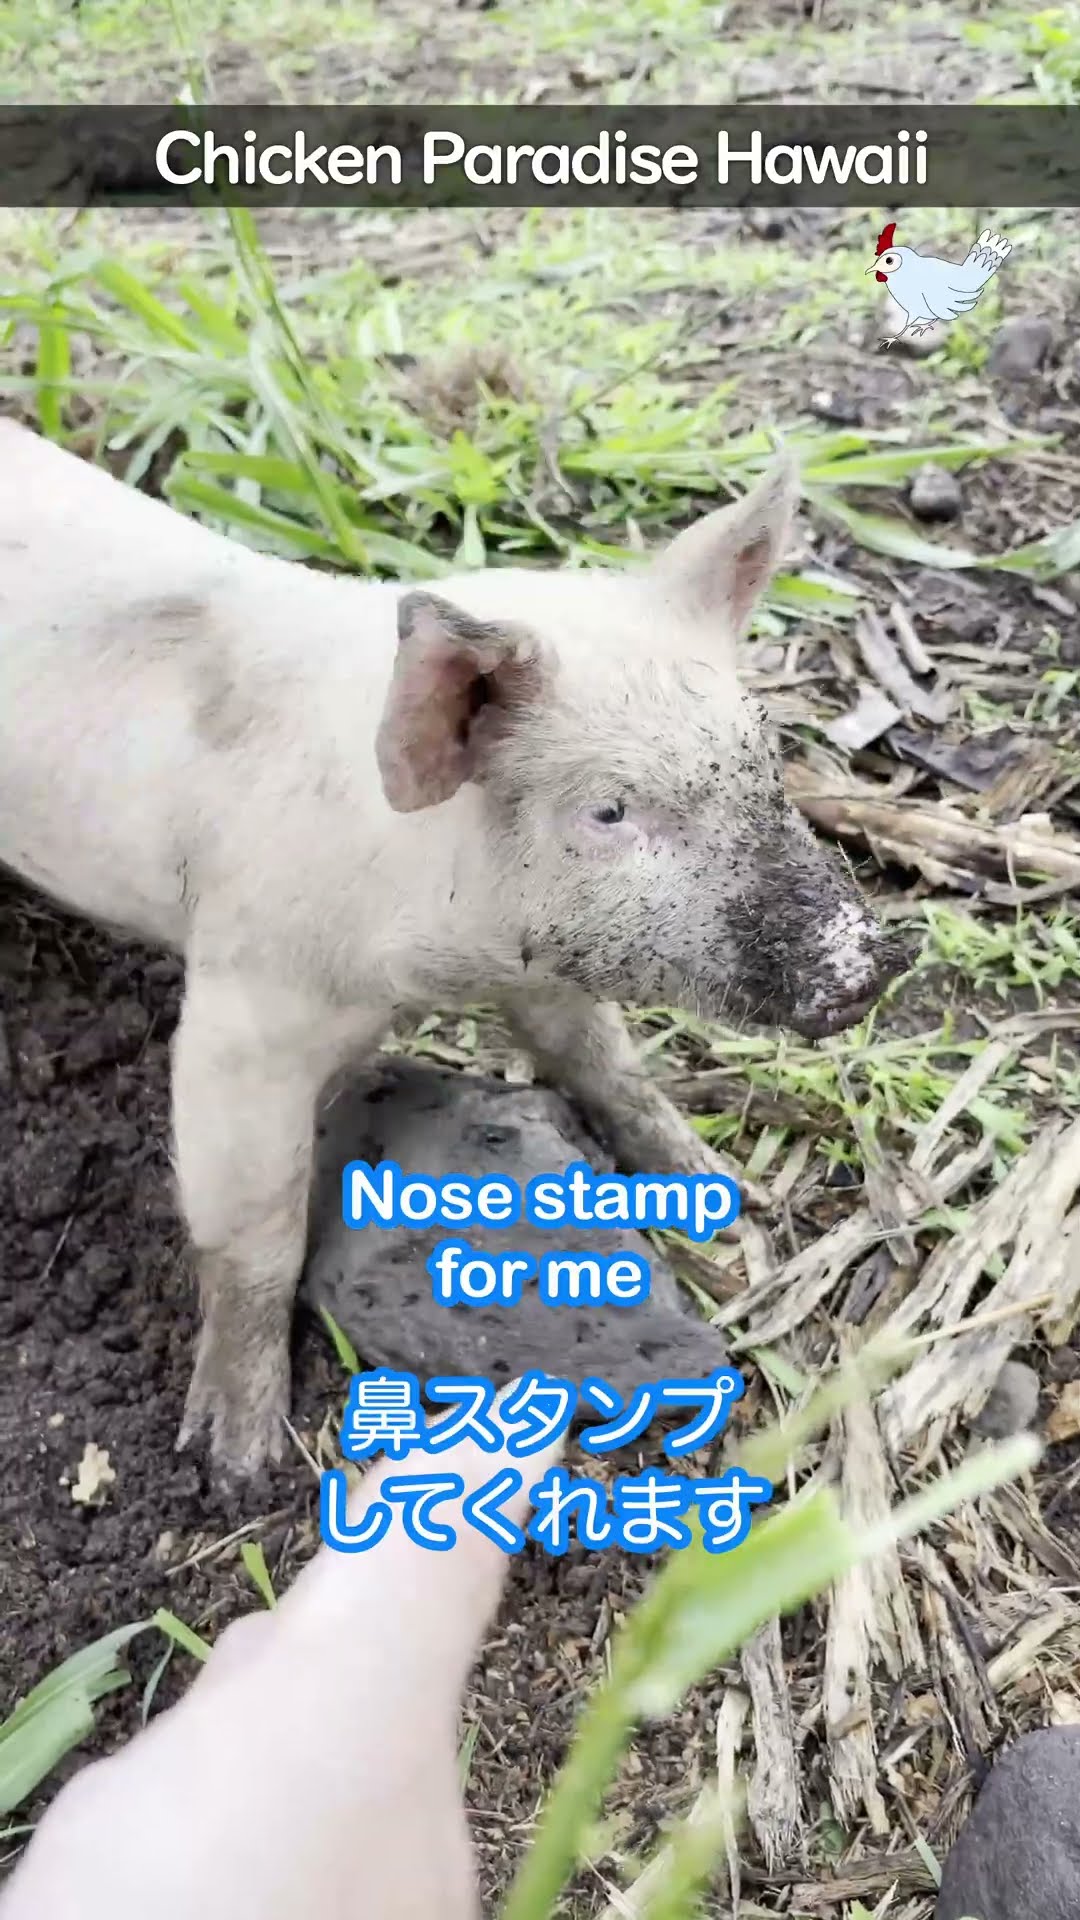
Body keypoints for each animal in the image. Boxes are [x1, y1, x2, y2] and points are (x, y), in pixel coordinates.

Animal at [0, 421, 903, 1481]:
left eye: (764, 756)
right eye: (608, 811)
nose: (863, 966)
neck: (439, 958)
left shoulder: (548, 964)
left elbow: (602, 1060)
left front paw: (723, 1189)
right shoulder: (245, 1005)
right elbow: (255, 1225)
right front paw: (236, 1458)